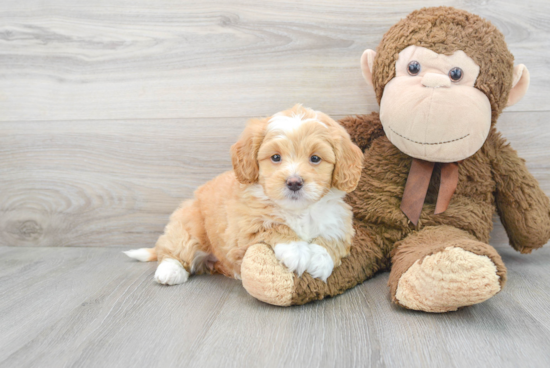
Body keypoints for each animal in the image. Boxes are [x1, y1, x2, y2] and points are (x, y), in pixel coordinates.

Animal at [125, 105, 366, 286]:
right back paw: (169, 271)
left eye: (315, 159)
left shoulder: (339, 223)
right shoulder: (245, 227)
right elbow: (273, 226)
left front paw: (320, 259)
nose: (294, 182)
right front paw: (297, 250)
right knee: (174, 249)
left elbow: (331, 239)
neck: (299, 211)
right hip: (190, 223)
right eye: (276, 157)